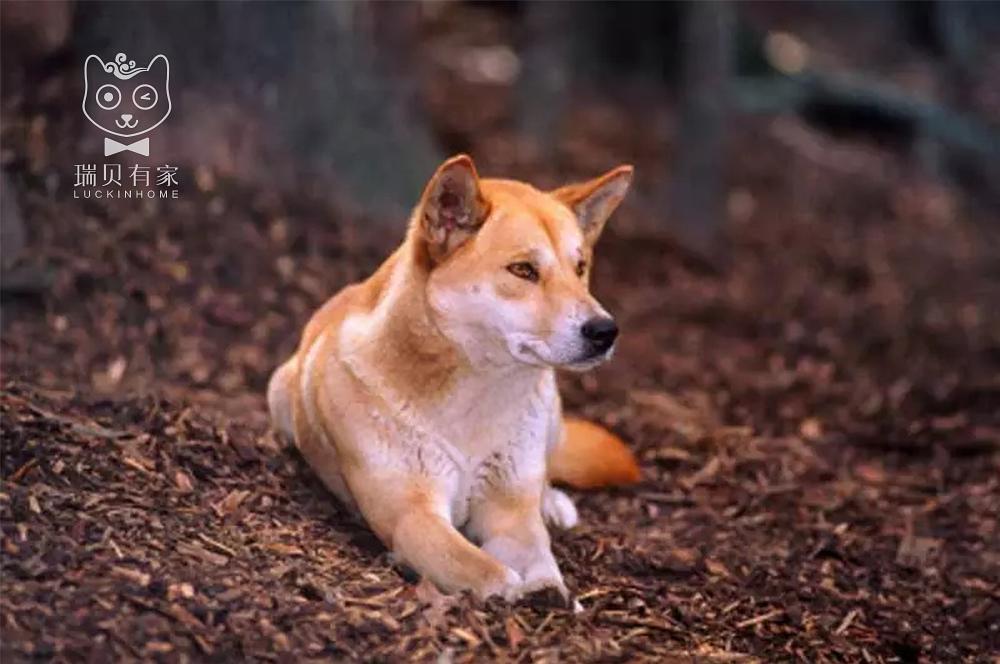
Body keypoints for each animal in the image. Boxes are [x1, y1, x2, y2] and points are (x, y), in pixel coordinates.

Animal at [268, 157, 640, 600]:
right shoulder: (412, 515)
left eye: (580, 268)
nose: (605, 330)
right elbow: (483, 570)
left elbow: (538, 555)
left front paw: (550, 591)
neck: (475, 400)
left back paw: (551, 503)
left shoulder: (509, 511)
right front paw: (512, 593)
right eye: (523, 270)